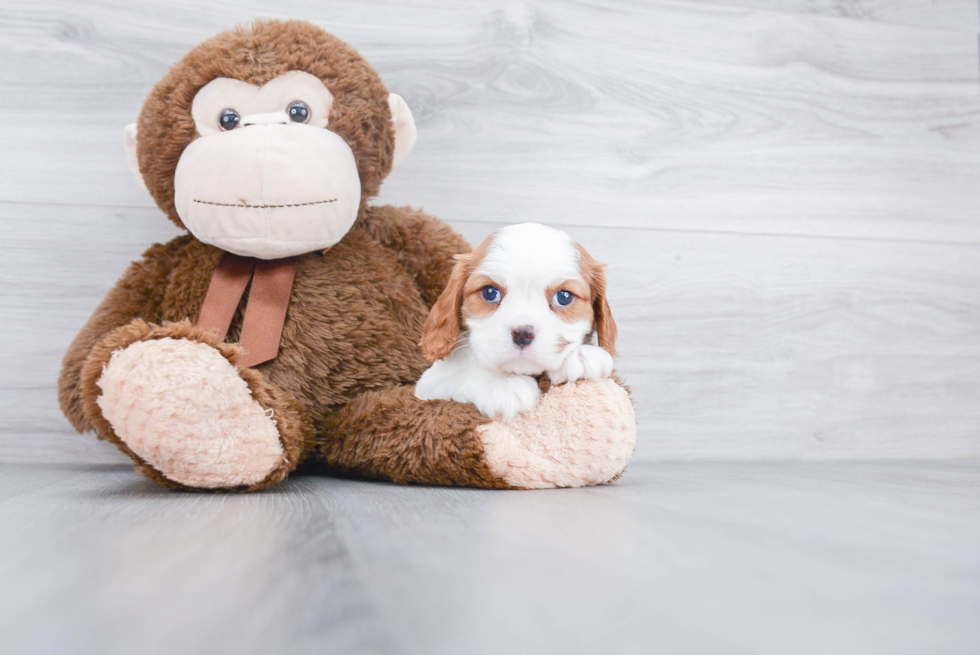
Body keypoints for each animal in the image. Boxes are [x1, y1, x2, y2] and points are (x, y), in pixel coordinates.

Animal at [416, 223, 616, 420]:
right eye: (490, 292)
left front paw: (580, 354)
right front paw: (503, 384)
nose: (522, 334)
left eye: (564, 297)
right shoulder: (427, 385)